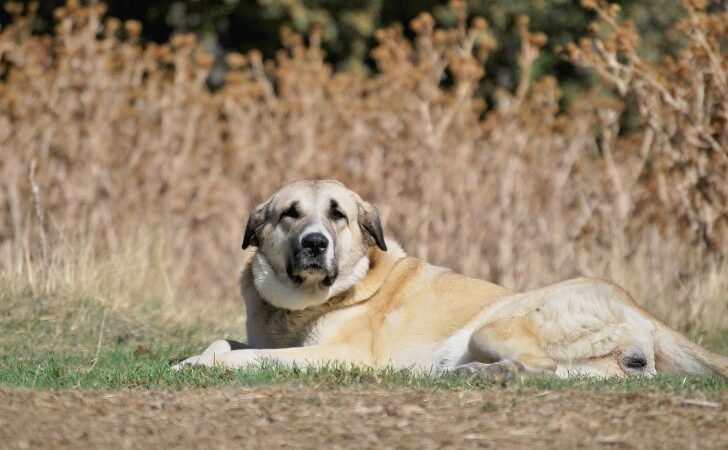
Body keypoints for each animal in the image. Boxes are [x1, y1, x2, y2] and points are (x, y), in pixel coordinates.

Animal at [176, 179, 728, 380]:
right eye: (290, 214)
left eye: (338, 216)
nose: (315, 243)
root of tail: (633, 301)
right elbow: (224, 343)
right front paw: (190, 358)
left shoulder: (341, 355)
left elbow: (249, 357)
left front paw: (202, 365)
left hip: (495, 326)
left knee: (538, 368)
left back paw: (473, 374)